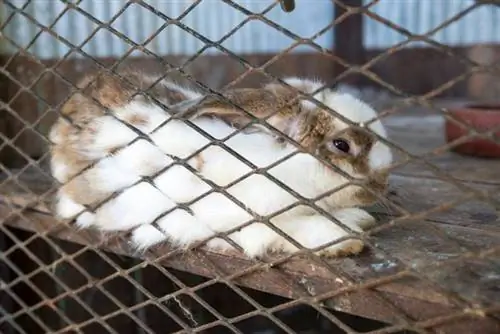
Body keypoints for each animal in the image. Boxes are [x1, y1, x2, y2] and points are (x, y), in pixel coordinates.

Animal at [49, 70, 394, 258]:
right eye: (342, 145)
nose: (383, 184)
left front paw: (359, 219)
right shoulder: (249, 224)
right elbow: (292, 231)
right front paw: (346, 240)